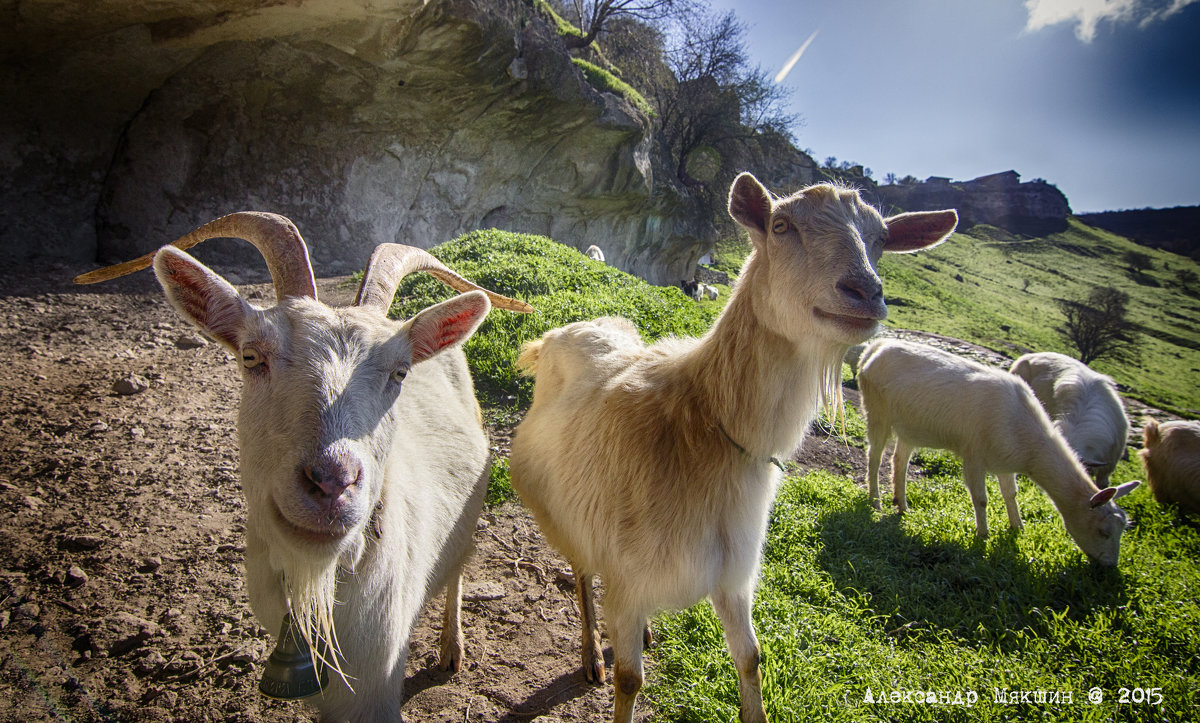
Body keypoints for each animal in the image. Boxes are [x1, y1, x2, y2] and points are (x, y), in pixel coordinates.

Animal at [72, 213, 528, 720]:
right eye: (252, 356)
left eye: (400, 372)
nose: (332, 483)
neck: (318, 585)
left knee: (457, 569)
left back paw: (452, 649)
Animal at [511, 171, 960, 715]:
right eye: (781, 225)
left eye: (881, 238)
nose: (864, 292)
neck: (697, 423)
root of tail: (561, 333)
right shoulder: (627, 577)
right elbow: (629, 680)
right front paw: (613, 666)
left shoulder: (734, 575)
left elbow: (751, 657)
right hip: (565, 515)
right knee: (580, 575)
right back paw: (590, 654)